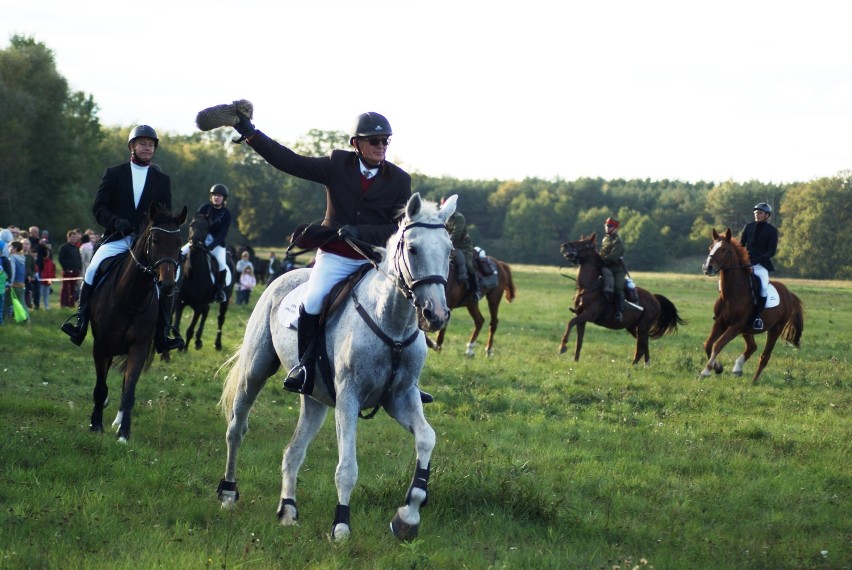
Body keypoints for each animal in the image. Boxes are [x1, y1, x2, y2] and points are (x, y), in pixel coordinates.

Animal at [87, 202, 186, 442]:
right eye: (155, 240)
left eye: (179, 242)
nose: (167, 285)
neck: (130, 297)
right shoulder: (100, 345)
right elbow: (101, 386)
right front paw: (96, 424)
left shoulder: (138, 347)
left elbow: (129, 389)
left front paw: (124, 433)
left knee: (125, 385)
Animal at [220, 193, 460, 540]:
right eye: (413, 249)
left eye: (449, 251)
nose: (436, 315)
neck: (392, 322)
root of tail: (283, 276)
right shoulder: (349, 397)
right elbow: (347, 467)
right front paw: (342, 525)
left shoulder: (401, 396)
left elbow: (427, 438)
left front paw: (408, 516)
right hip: (255, 371)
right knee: (237, 428)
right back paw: (227, 492)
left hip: (315, 398)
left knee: (293, 451)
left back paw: (288, 510)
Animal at [560, 234, 684, 364]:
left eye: (585, 243)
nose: (565, 245)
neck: (588, 287)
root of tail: (655, 299)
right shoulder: (581, 318)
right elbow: (579, 341)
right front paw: (575, 361)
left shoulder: (588, 315)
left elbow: (570, 322)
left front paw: (562, 347)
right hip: (633, 327)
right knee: (644, 344)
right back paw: (646, 364)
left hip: (642, 327)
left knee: (640, 348)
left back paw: (633, 365)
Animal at [704, 226, 804, 382]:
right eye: (711, 247)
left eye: (724, 249)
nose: (708, 267)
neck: (732, 292)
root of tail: (788, 293)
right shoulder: (721, 322)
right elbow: (708, 344)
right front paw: (718, 367)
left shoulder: (736, 326)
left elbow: (717, 345)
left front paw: (707, 370)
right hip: (747, 329)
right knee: (752, 347)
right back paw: (737, 369)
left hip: (775, 329)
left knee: (764, 356)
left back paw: (754, 381)